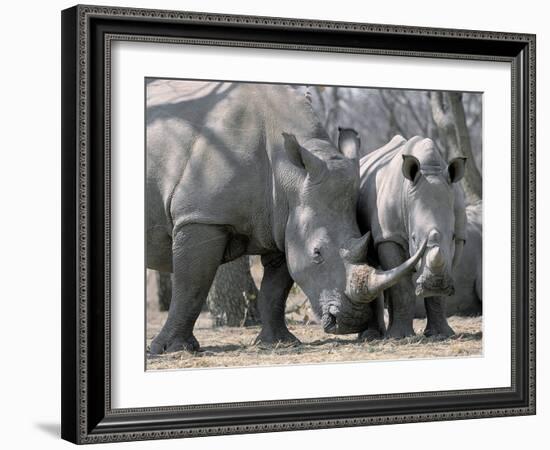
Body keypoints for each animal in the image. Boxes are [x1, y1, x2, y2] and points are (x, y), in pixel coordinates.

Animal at [146, 81, 422, 356]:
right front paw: (171, 349)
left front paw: (279, 342)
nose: (351, 321)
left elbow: (275, 289)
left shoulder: (283, 221)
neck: (288, 172)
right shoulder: (200, 217)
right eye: (317, 253)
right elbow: (191, 285)